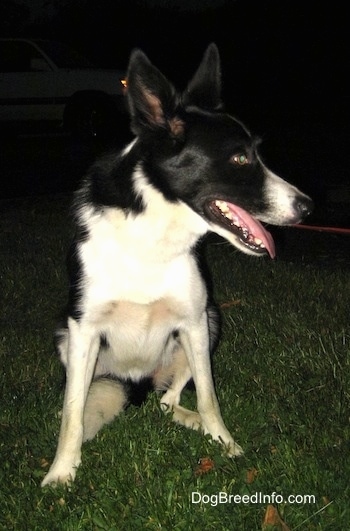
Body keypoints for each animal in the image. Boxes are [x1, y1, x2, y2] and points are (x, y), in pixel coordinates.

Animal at [41, 43, 312, 488]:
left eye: (255, 153)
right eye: (240, 158)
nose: (307, 208)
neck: (152, 235)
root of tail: (139, 384)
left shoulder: (194, 320)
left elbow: (208, 396)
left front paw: (224, 443)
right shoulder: (83, 330)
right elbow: (72, 413)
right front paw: (62, 471)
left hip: (211, 322)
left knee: (169, 399)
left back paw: (192, 423)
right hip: (67, 339)